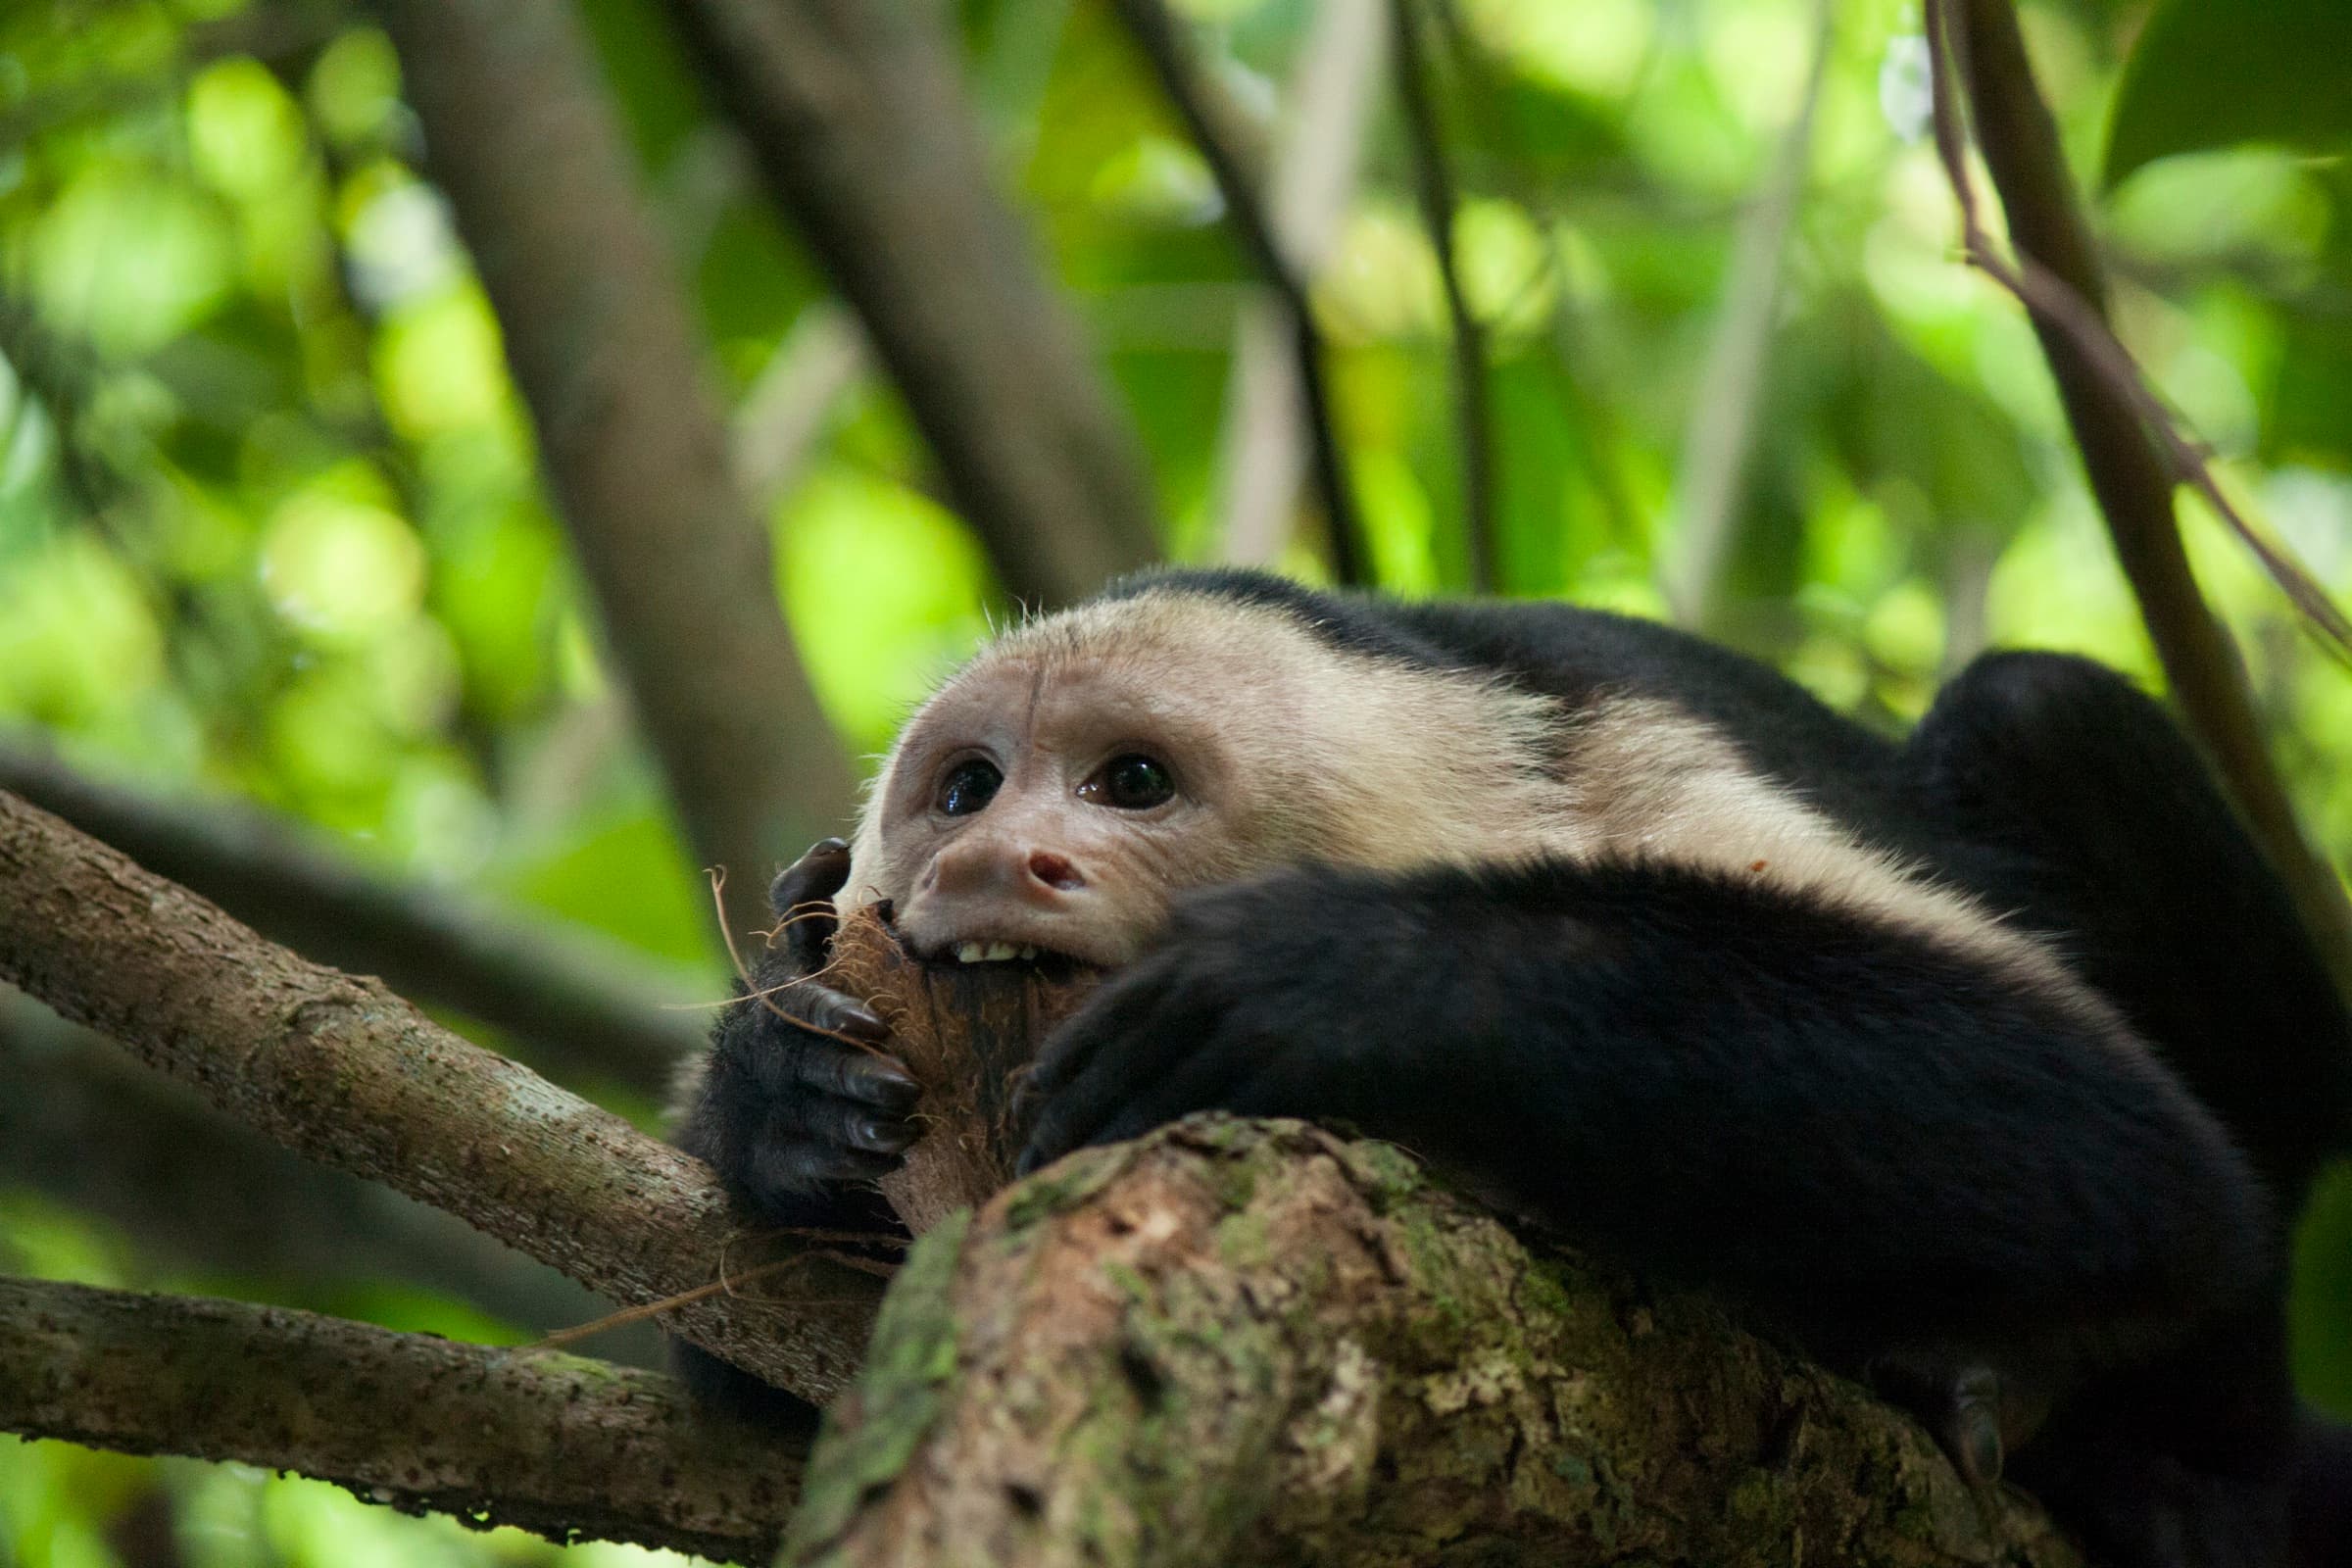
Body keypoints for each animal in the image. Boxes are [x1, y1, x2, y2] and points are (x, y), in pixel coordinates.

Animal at [672, 567, 2352, 1568]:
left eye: (1128, 781)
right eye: (965, 790)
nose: (990, 860)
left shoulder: (1632, 774)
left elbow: (2138, 1158)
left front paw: (1343, 980)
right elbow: (770, 1401)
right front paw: (775, 1091)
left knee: (2043, 716)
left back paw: (2165, 1457)